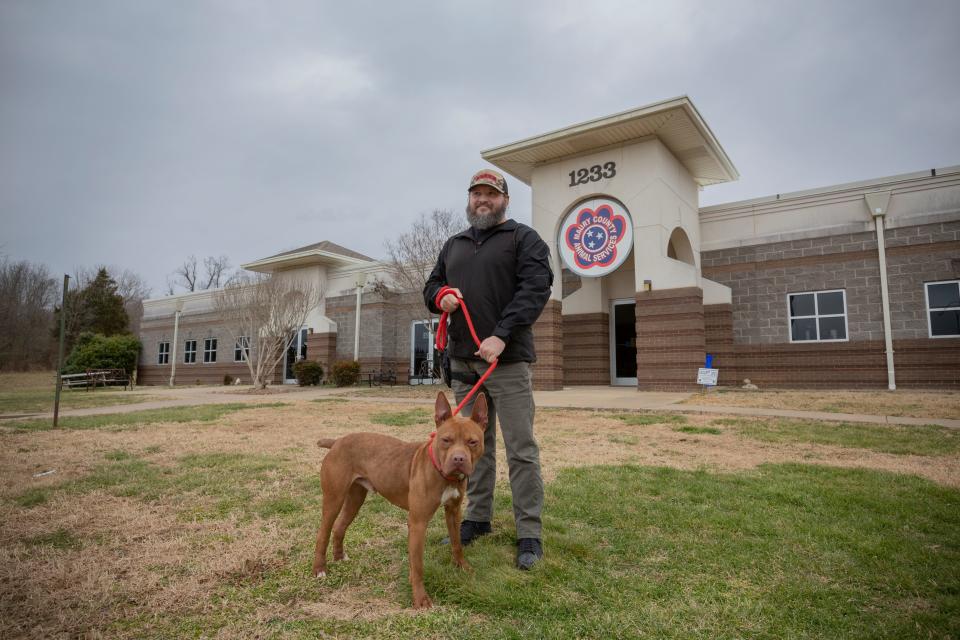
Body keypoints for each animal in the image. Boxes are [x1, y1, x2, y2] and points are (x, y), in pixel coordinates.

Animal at [314, 390, 484, 608]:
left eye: (473, 442)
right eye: (446, 440)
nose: (459, 459)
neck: (442, 473)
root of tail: (336, 442)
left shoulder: (453, 513)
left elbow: (457, 544)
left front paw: (462, 567)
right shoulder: (418, 522)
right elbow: (418, 564)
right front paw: (420, 599)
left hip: (355, 499)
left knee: (340, 526)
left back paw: (339, 557)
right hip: (333, 499)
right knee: (323, 532)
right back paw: (320, 569)